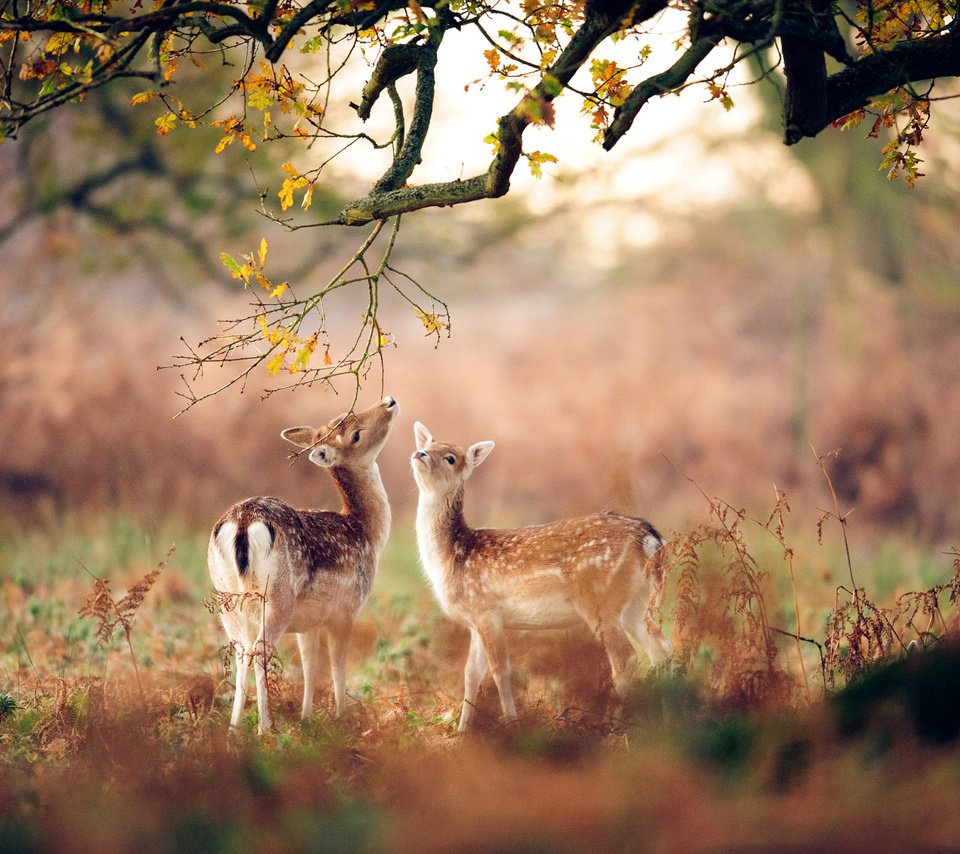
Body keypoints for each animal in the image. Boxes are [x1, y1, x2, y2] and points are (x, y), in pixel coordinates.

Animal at [208, 398, 400, 732]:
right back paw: (266, 727)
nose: (388, 401)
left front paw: (306, 717)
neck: (366, 532)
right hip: (277, 598)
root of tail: (242, 522)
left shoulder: (309, 622)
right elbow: (337, 665)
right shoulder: (346, 609)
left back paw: (234, 729)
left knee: (242, 650)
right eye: (355, 435)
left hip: (226, 599)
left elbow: (310, 665)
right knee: (260, 649)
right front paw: (341, 718)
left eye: (345, 416)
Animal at [408, 424, 672, 732]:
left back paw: (612, 724)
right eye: (427, 445)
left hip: (600, 600)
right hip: (636, 603)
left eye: (450, 458)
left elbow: (500, 670)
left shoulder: (487, 610)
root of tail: (650, 540)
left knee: (626, 657)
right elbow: (471, 673)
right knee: (660, 648)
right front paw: (462, 731)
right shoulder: (474, 620)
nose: (419, 454)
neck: (452, 556)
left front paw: (512, 724)